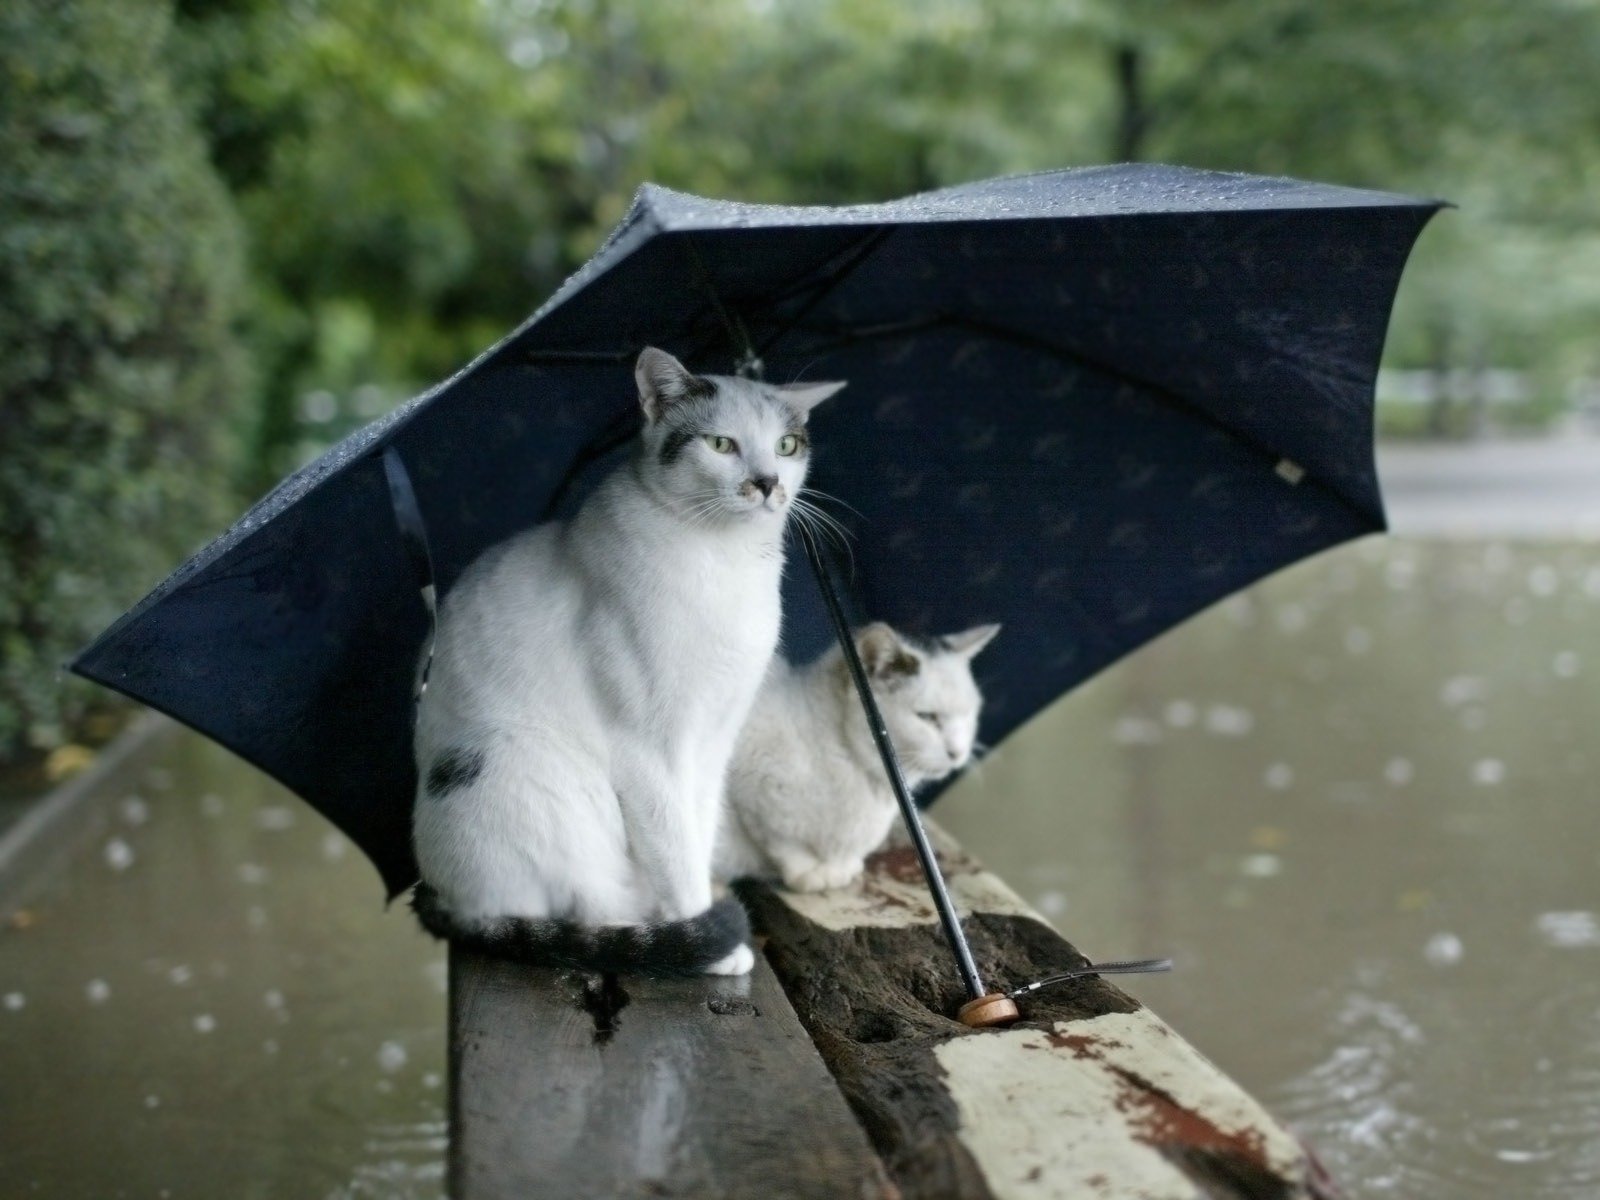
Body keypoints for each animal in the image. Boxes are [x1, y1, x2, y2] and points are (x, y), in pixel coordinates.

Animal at [409, 347, 851, 979]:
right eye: (721, 444)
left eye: (786, 446)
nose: (767, 483)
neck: (726, 561)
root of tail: (446, 897)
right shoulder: (647, 752)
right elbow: (673, 849)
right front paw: (710, 937)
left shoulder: (714, 742)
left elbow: (698, 830)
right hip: (539, 772)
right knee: (588, 907)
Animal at [716, 624, 992, 896]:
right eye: (927, 717)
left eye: (969, 713)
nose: (958, 752)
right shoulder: (749, 785)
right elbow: (782, 841)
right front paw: (809, 872)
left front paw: (839, 868)